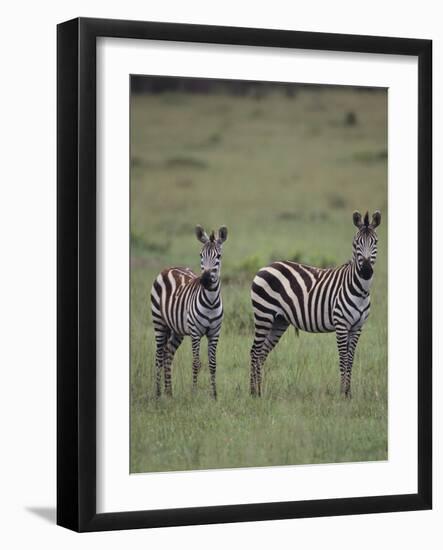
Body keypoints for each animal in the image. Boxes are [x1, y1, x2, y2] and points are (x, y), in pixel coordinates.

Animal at [152, 225, 229, 402]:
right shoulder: (195, 332)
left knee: (167, 354)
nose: (205, 280)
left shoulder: (215, 333)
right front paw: (194, 393)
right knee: (158, 356)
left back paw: (169, 393)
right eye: (201, 255)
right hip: (159, 322)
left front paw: (214, 396)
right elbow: (196, 363)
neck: (211, 302)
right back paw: (158, 394)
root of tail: (169, 268)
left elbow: (212, 363)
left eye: (219, 256)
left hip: (177, 330)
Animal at [250, 210, 382, 396]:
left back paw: (260, 392)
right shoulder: (341, 324)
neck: (360, 291)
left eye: (375, 242)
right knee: (254, 352)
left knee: (261, 353)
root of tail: (264, 267)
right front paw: (342, 393)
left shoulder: (357, 327)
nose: (366, 271)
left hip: (278, 321)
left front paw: (349, 393)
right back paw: (253, 392)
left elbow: (351, 360)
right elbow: (343, 359)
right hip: (263, 315)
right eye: (356, 243)